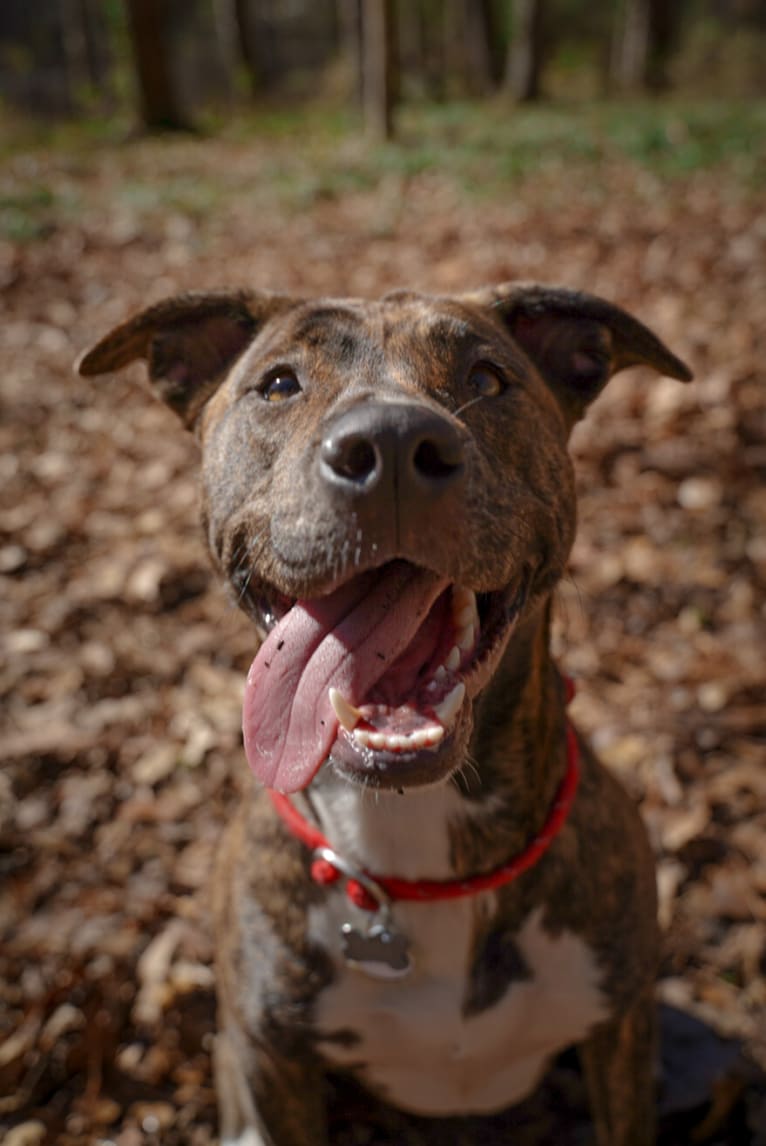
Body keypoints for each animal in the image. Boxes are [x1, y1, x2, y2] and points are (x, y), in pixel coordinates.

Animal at [79, 279, 692, 1146]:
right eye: (279, 384)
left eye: (487, 379)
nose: (394, 444)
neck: (417, 848)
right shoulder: (271, 1064)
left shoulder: (622, 1031)